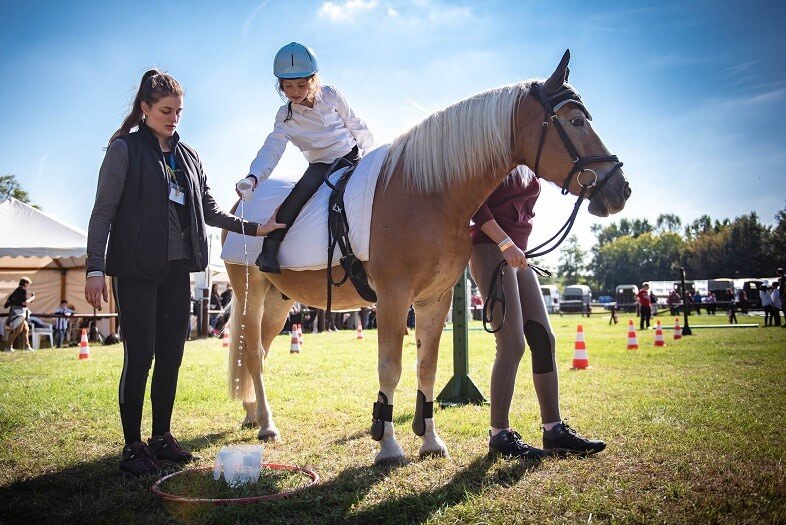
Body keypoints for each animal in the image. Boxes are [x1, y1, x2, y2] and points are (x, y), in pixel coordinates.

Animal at [220, 51, 632, 462]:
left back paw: (252, 413)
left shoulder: (435, 299)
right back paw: (267, 424)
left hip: (279, 300)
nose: (621, 189)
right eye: (576, 121)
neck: (426, 192)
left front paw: (430, 440)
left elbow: (427, 368)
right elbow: (390, 368)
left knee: (261, 350)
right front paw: (387, 445)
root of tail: (237, 207)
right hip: (250, 293)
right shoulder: (393, 298)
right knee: (252, 353)